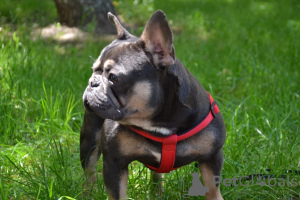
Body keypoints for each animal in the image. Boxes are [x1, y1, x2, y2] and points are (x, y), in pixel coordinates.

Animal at [81, 10, 226, 199]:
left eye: (113, 78)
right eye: (93, 70)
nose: (92, 82)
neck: (161, 121)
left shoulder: (211, 157)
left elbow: (213, 189)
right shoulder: (114, 162)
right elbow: (116, 193)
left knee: (156, 173)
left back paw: (157, 192)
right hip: (89, 138)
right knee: (89, 170)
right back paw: (88, 193)